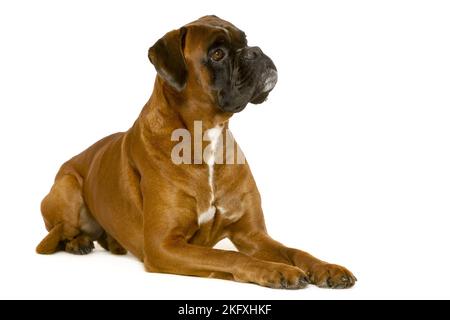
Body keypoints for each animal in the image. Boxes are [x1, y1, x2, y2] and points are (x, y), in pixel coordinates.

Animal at [37, 16, 356, 288]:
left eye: (245, 40)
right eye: (217, 54)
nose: (254, 51)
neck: (207, 135)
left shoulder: (253, 235)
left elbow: (295, 251)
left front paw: (326, 268)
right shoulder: (164, 245)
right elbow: (229, 256)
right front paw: (275, 270)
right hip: (68, 186)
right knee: (60, 231)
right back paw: (77, 243)